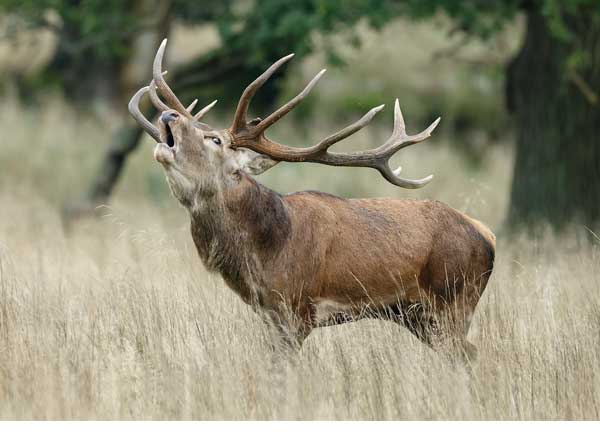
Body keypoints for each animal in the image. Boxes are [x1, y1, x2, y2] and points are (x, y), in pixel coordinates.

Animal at [127, 39, 496, 360]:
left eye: (215, 139)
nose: (170, 116)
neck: (264, 251)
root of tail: (487, 234)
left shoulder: (297, 308)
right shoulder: (268, 313)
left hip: (455, 298)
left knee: (468, 353)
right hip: (418, 316)